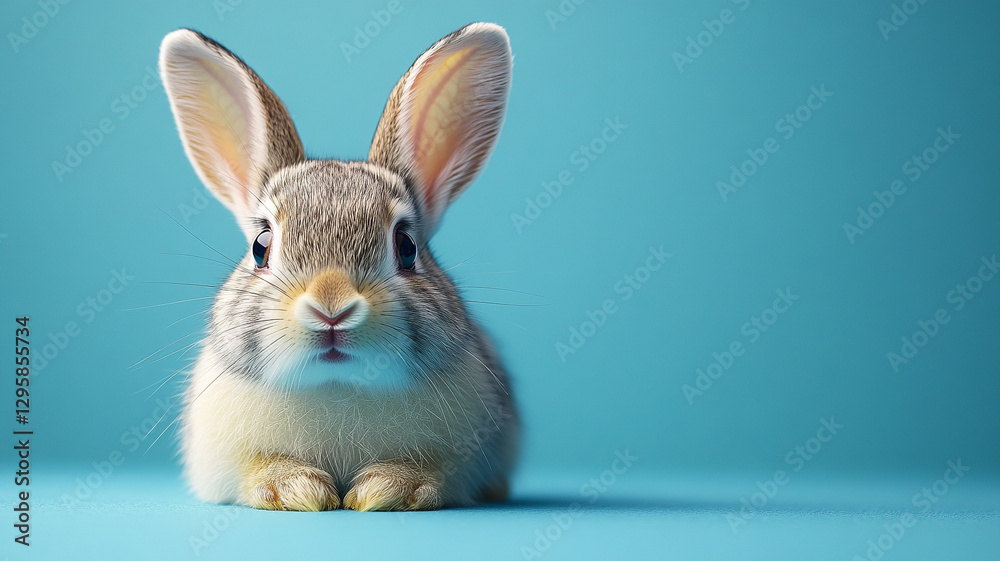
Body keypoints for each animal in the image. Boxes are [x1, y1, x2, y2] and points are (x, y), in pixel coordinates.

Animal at [158, 22, 518, 511]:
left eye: (406, 247)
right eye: (260, 247)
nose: (332, 308)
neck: (337, 386)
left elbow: (433, 474)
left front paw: (387, 489)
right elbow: (258, 468)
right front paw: (297, 489)